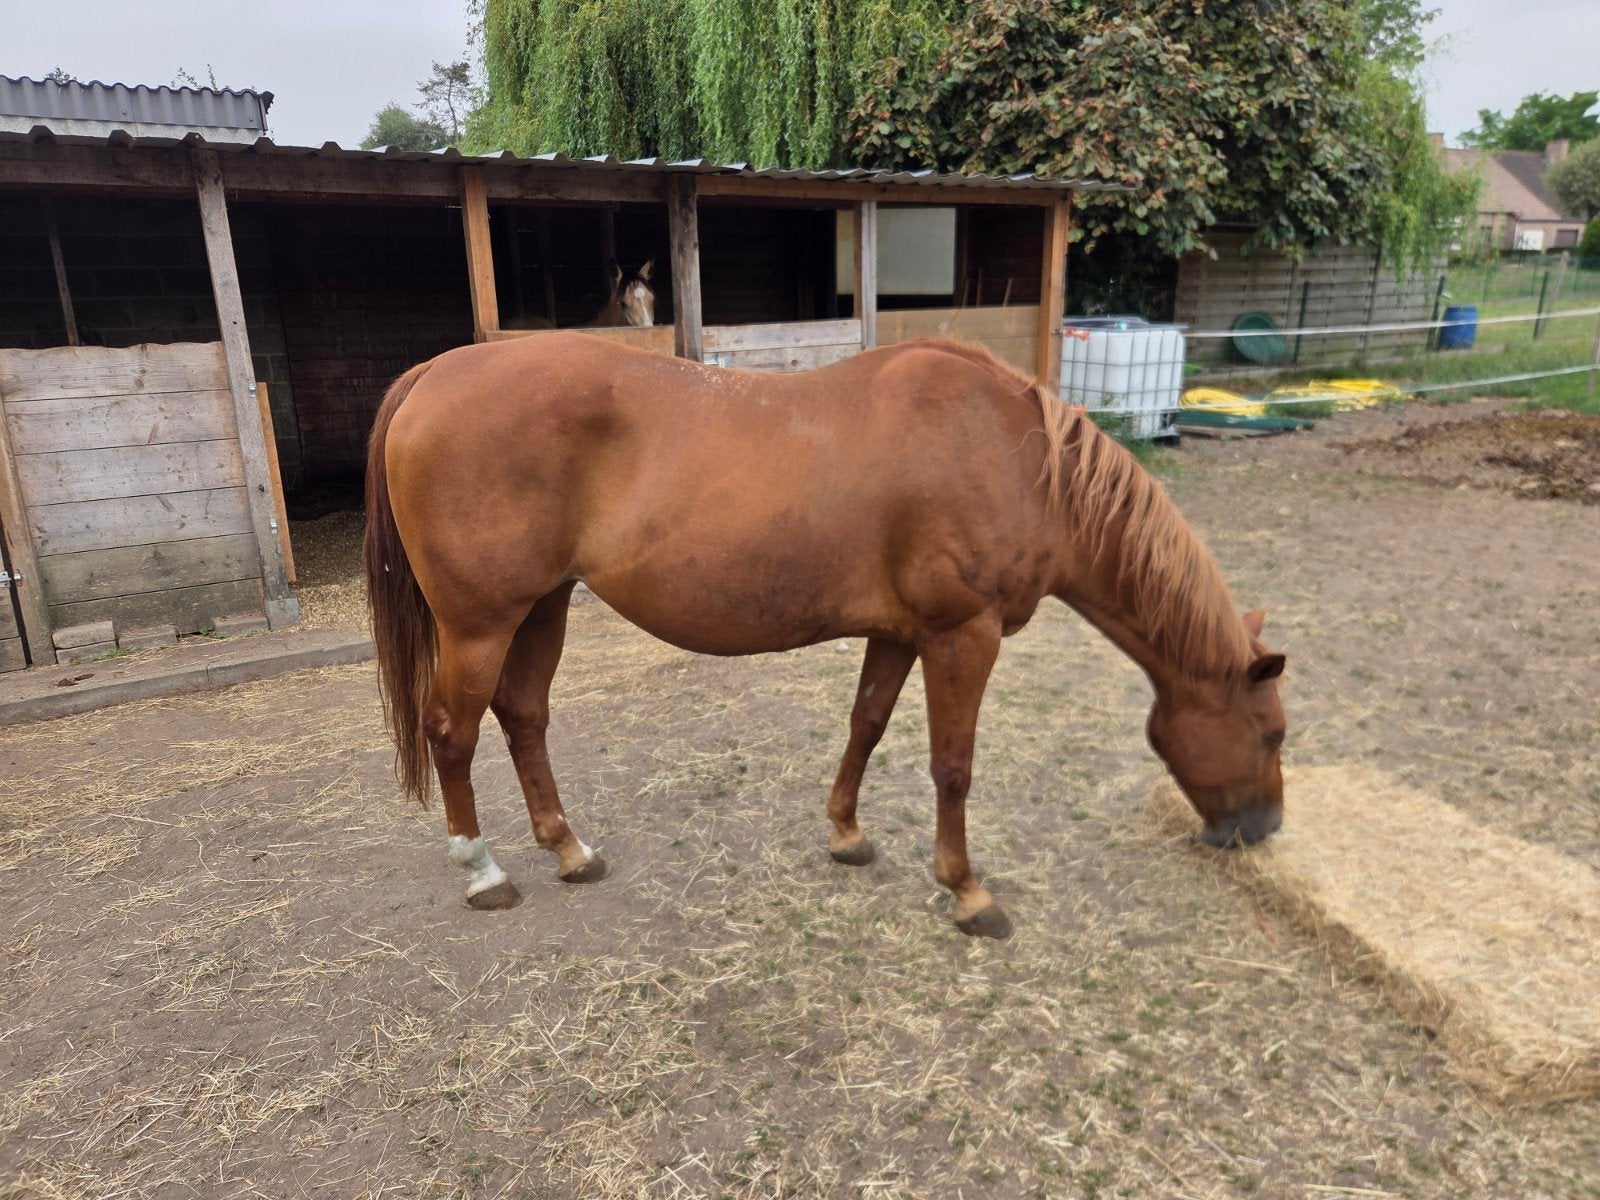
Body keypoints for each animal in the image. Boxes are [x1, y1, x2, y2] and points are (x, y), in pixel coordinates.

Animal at [363, 334, 1286, 938]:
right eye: (1273, 732)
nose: (1263, 828)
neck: (1020, 460)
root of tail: (433, 372)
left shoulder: (902, 634)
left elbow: (867, 725)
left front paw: (846, 834)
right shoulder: (964, 635)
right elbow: (953, 767)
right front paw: (968, 892)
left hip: (544, 607)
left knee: (524, 717)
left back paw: (569, 849)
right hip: (480, 624)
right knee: (452, 732)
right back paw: (484, 872)